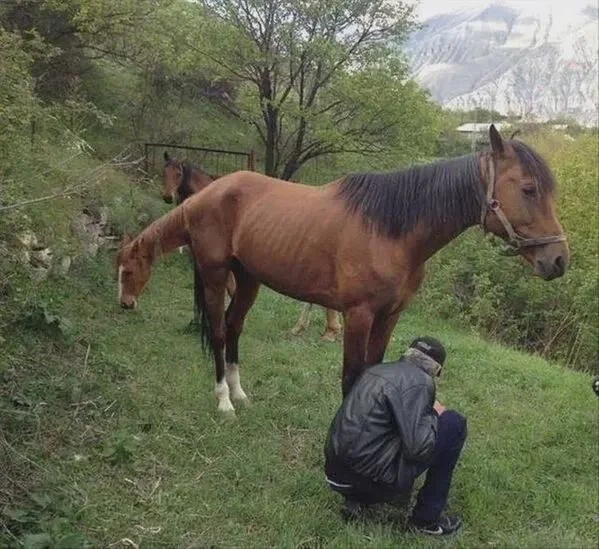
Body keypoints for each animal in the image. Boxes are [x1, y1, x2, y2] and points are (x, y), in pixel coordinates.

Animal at [118, 126, 572, 414]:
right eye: (529, 189)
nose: (559, 260)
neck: (391, 230)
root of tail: (209, 193)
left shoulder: (389, 317)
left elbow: (371, 370)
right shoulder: (358, 315)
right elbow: (351, 376)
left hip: (247, 279)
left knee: (233, 327)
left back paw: (240, 392)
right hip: (216, 275)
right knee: (216, 329)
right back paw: (224, 401)